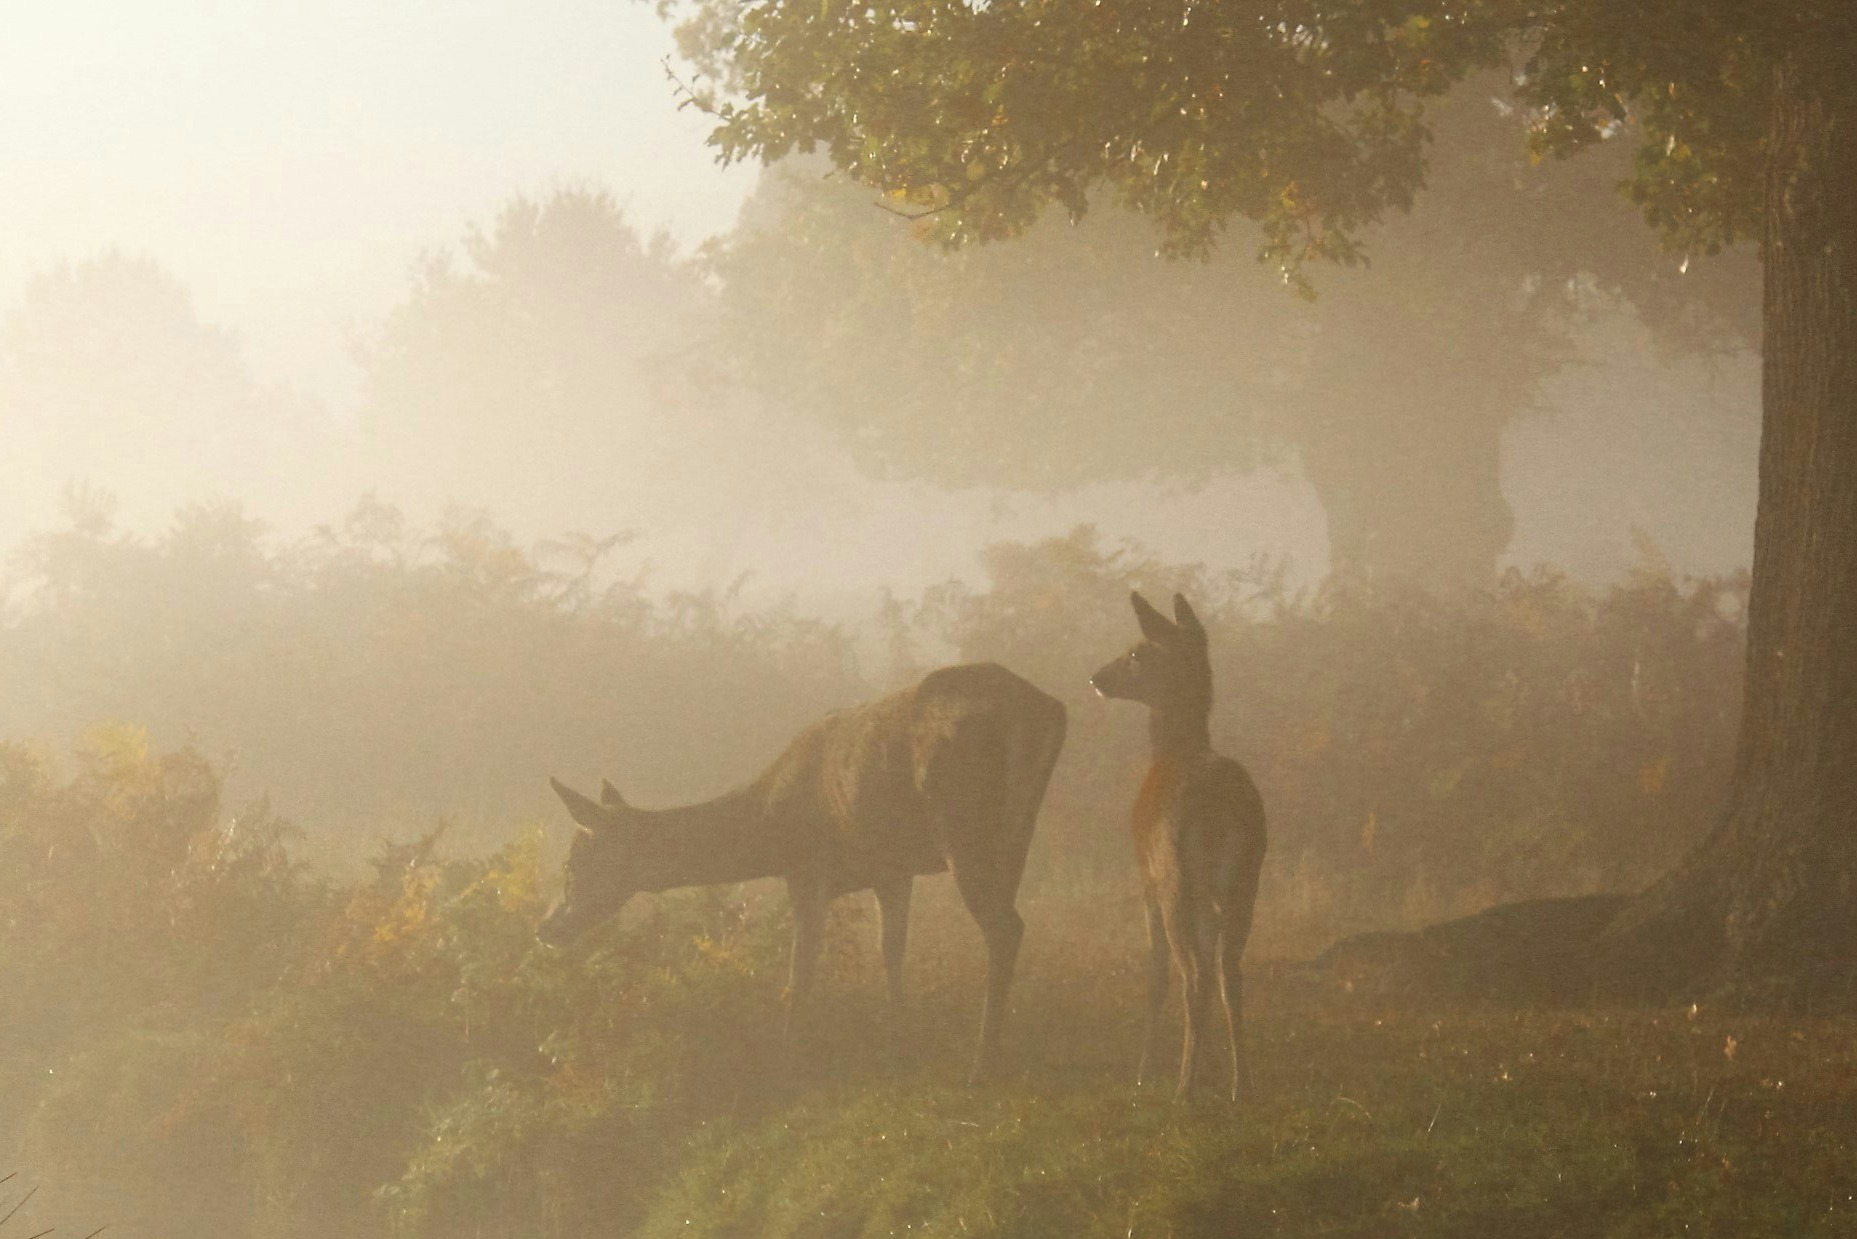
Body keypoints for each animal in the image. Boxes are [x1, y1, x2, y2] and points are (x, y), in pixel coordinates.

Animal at [538, 657, 1069, 1084]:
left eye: (574, 861)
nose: (546, 926)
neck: (768, 831)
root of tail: (1044, 710)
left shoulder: (807, 869)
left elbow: (801, 970)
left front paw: (788, 1061)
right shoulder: (891, 869)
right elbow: (890, 950)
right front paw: (900, 1036)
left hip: (962, 824)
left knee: (1004, 928)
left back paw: (983, 1064)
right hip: (1019, 829)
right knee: (1008, 923)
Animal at [1091, 594, 1270, 1107]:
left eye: (1137, 652)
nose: (1097, 677)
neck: (1170, 750)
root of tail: (1222, 808)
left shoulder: (1145, 881)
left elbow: (1156, 977)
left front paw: (1144, 1072)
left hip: (1176, 879)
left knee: (1194, 977)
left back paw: (1183, 1090)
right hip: (1246, 879)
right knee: (1230, 972)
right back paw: (1242, 1085)